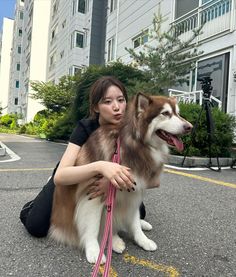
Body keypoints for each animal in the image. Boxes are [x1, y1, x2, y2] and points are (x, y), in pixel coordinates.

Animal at [49, 92, 192, 264]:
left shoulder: (136, 190)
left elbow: (134, 221)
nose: (190, 127)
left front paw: (142, 239)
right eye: (165, 113)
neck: (135, 144)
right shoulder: (93, 194)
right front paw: (94, 251)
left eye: (178, 113)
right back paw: (114, 241)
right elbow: (93, 225)